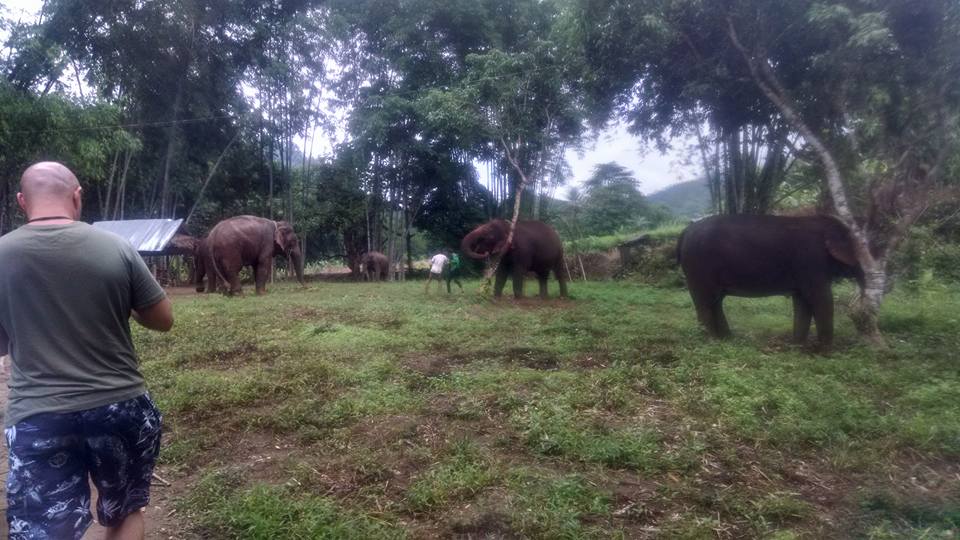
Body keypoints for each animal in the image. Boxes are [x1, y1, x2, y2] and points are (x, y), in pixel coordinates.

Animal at [676, 213, 864, 348]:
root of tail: (685, 231)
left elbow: (802, 301)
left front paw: (797, 346)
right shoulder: (811, 260)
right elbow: (821, 298)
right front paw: (826, 351)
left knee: (715, 302)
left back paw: (727, 339)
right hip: (698, 266)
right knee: (704, 302)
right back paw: (712, 341)